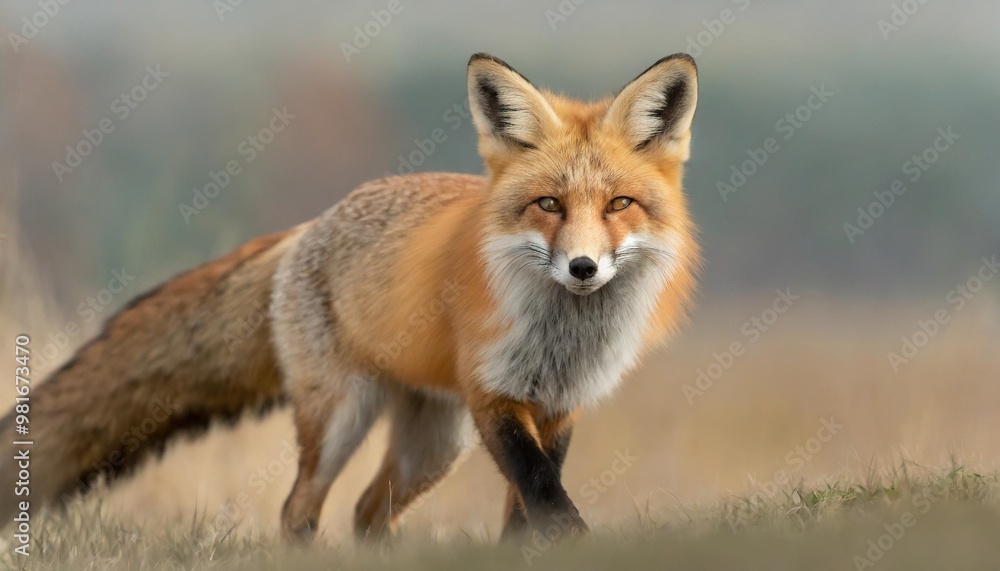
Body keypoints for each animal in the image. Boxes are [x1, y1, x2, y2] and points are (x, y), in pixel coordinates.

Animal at [0, 52, 700, 542]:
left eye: (619, 205)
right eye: (549, 204)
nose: (583, 268)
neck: (564, 335)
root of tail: (311, 224)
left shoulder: (559, 406)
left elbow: (530, 504)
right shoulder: (494, 395)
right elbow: (542, 491)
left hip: (433, 446)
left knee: (367, 513)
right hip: (344, 415)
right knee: (299, 510)